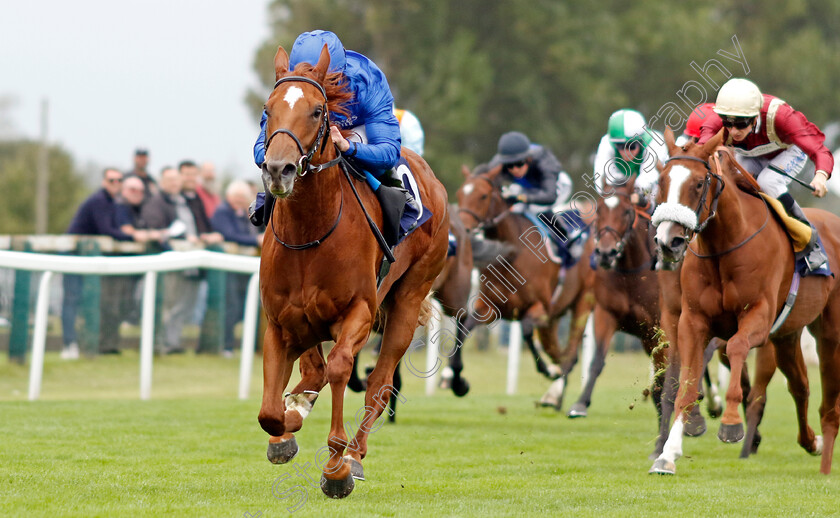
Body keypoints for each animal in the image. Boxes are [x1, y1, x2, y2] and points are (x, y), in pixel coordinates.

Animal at [258, 45, 450, 500]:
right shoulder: (279, 321)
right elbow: (271, 410)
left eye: (316, 111)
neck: (310, 233)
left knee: (378, 385)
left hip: (407, 299)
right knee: (314, 371)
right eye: (268, 110)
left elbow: (342, 368)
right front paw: (287, 426)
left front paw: (336, 467)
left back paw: (355, 456)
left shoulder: (359, 311)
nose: (278, 169)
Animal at [452, 165, 596, 400]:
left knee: (570, 352)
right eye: (460, 194)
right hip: (553, 319)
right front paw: (458, 382)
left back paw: (555, 389)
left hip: (582, 303)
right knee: (561, 353)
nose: (463, 230)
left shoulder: (541, 307)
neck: (512, 253)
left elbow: (527, 329)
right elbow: (464, 327)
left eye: (483, 196)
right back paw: (554, 394)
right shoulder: (490, 307)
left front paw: (546, 370)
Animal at [648, 129, 840, 476]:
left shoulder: (759, 318)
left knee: (829, 403)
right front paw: (667, 454)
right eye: (662, 180)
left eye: (699, 183)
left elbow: (737, 347)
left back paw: (826, 461)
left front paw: (731, 423)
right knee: (800, 385)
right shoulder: (692, 321)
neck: (724, 247)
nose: (669, 241)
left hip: (829, 332)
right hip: (787, 335)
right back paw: (812, 442)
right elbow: (686, 384)